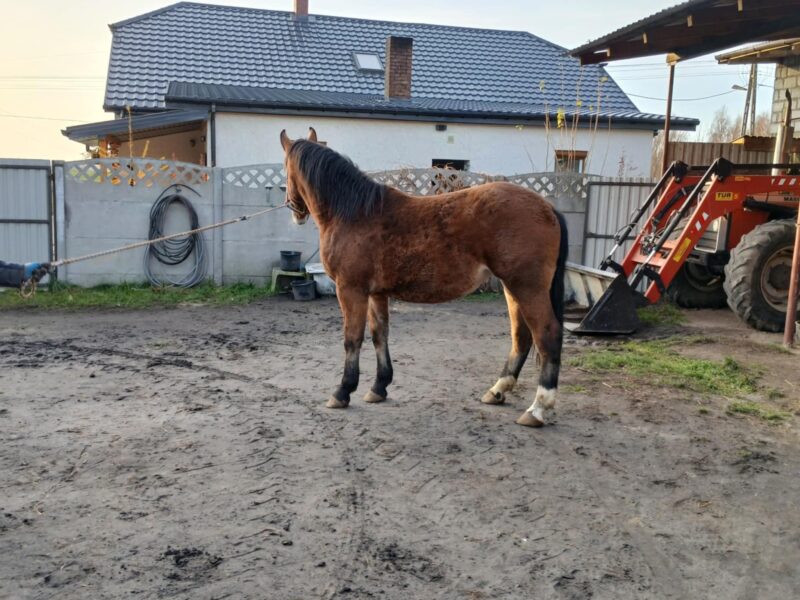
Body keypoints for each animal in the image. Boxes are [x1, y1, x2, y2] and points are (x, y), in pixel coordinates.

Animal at [282, 127, 568, 426]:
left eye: (285, 168)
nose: (294, 211)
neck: (354, 213)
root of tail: (548, 208)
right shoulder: (376, 293)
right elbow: (379, 335)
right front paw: (379, 387)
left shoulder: (351, 290)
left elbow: (353, 339)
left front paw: (343, 391)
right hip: (512, 289)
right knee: (521, 336)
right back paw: (497, 390)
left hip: (527, 288)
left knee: (546, 334)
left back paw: (538, 408)